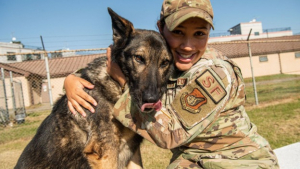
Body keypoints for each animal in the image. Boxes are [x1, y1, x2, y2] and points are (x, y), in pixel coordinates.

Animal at [14, 7, 173, 168]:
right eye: (139, 58)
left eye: (165, 63)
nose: (151, 99)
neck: (116, 85)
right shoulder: (106, 154)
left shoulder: (131, 151)